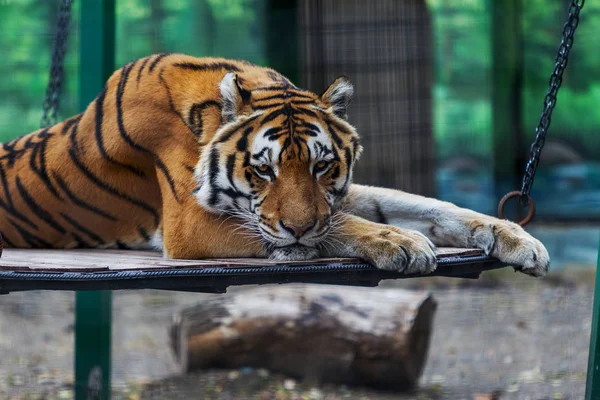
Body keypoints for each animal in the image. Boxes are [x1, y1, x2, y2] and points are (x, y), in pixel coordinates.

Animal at [0, 53, 548, 276]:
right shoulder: (189, 224)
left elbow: (427, 205)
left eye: (322, 168)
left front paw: (516, 238)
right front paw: (403, 243)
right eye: (263, 170)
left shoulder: (340, 197)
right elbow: (347, 225)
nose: (299, 228)